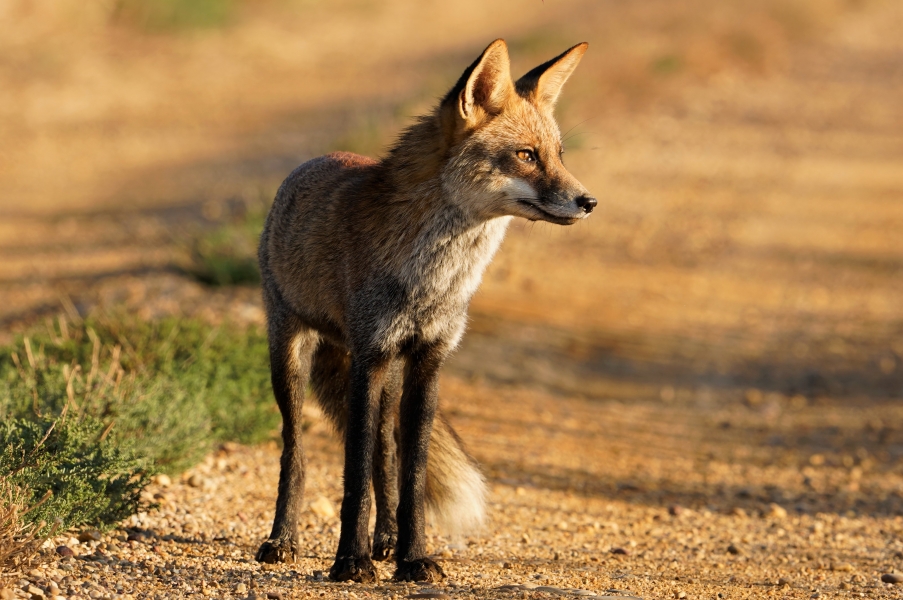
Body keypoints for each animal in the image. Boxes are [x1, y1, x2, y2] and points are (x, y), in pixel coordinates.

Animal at [254, 38, 596, 580]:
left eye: (559, 156)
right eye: (525, 155)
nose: (589, 201)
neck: (433, 282)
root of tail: (310, 162)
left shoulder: (426, 361)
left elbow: (409, 476)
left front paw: (412, 557)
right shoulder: (369, 356)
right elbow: (353, 477)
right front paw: (349, 562)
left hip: (389, 381)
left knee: (385, 454)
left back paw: (386, 540)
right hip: (291, 355)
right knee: (297, 453)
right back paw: (283, 539)